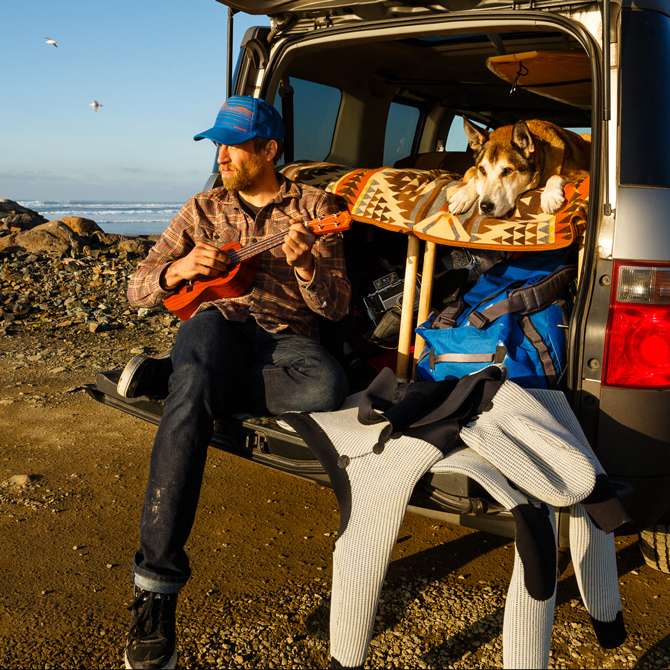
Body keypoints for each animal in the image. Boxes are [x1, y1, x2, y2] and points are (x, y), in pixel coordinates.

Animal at [448, 117, 592, 218]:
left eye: (508, 171)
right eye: (482, 170)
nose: (485, 207)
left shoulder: (584, 173)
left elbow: (555, 176)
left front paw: (550, 195)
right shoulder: (473, 170)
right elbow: (471, 176)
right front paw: (463, 195)